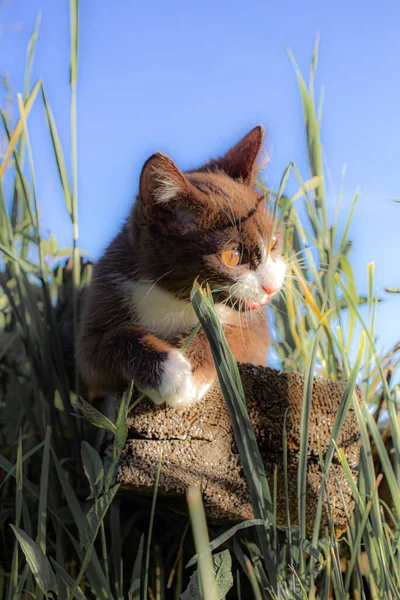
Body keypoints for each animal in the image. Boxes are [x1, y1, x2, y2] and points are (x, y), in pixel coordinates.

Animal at [77, 126, 284, 408]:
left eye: (273, 242)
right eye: (231, 256)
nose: (271, 287)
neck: (173, 298)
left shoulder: (254, 327)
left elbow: (235, 334)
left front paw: (193, 373)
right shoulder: (108, 290)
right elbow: (102, 348)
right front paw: (170, 374)